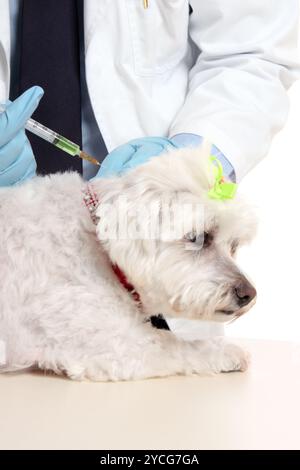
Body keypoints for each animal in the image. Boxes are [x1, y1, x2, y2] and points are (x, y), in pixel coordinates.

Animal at [0, 144, 258, 382]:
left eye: (233, 245)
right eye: (198, 238)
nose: (249, 294)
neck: (95, 240)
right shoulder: (116, 344)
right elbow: (178, 344)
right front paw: (227, 351)